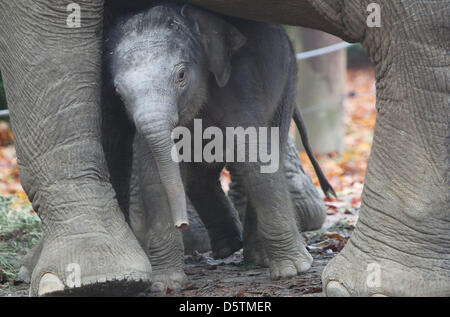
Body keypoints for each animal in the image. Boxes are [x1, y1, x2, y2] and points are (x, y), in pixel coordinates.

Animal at [108, 4, 334, 286]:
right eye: (119, 92)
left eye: (181, 75)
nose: (180, 224)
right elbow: (156, 177)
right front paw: (166, 283)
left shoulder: (237, 91)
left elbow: (258, 159)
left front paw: (293, 270)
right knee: (198, 177)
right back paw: (228, 247)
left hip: (287, 84)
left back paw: (257, 257)